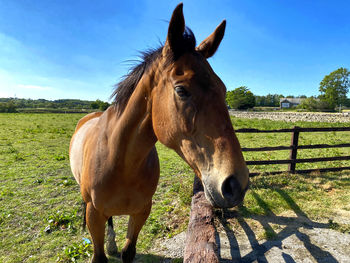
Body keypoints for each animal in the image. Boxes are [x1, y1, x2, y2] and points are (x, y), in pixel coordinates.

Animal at [69, 3, 249, 263]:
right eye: (181, 90)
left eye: (224, 90)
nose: (236, 184)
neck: (120, 162)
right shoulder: (93, 214)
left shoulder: (142, 211)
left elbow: (128, 252)